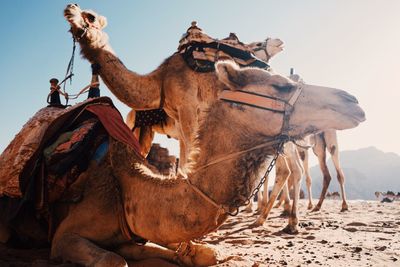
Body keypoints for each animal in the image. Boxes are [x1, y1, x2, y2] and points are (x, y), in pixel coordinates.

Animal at [0, 59, 366, 267]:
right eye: (280, 85)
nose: (354, 101)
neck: (127, 187)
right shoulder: (64, 236)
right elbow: (113, 261)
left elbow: (203, 253)